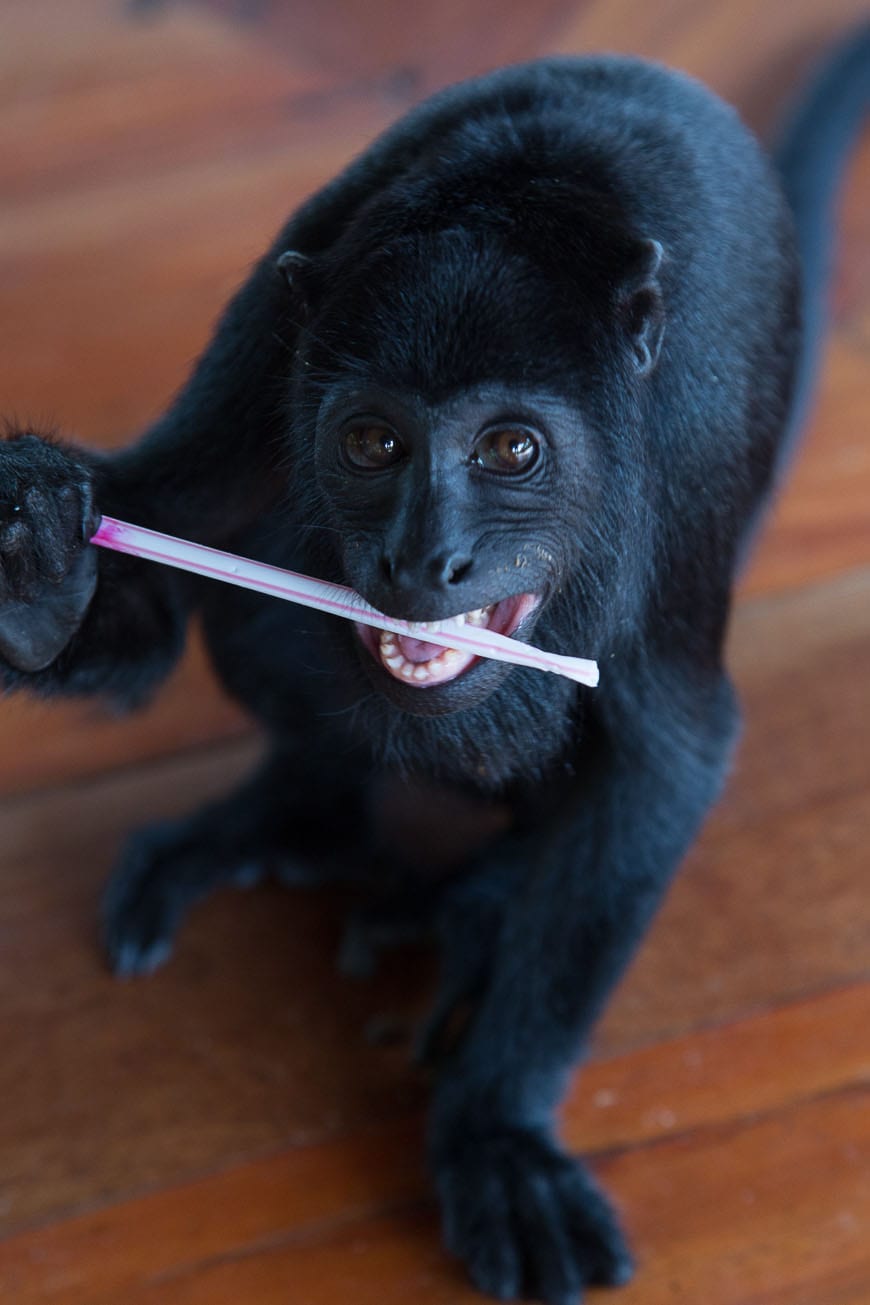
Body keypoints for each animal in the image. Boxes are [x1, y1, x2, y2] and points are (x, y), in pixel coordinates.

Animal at [1, 33, 870, 1305]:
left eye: (511, 448)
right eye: (373, 442)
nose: (424, 556)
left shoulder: (689, 431)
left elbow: (669, 753)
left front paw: (494, 1128)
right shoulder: (273, 335)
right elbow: (156, 579)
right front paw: (33, 559)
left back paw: (477, 902)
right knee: (262, 616)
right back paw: (291, 817)